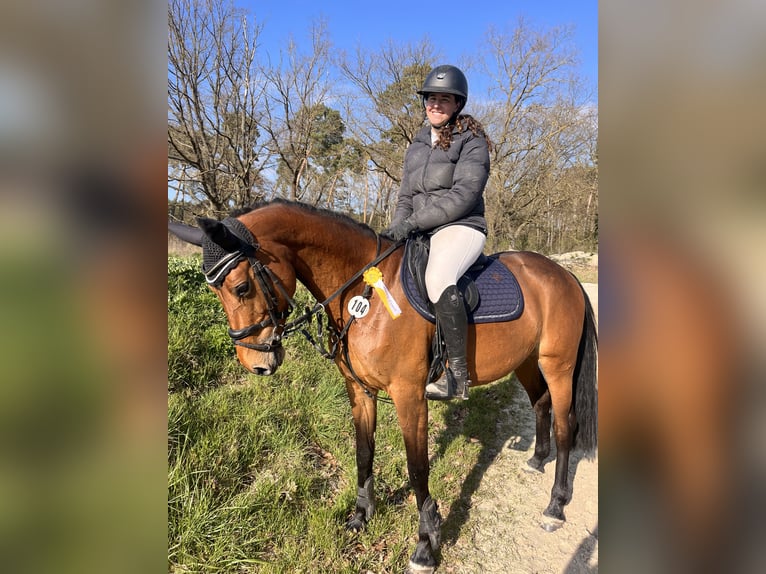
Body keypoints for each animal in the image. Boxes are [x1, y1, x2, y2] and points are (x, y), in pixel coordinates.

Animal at [168, 199, 598, 574]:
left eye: (241, 287)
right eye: (215, 291)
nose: (255, 363)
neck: (364, 292)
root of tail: (565, 276)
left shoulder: (409, 396)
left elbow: (418, 468)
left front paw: (425, 544)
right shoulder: (360, 391)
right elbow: (363, 453)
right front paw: (361, 516)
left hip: (558, 365)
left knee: (565, 426)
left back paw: (555, 506)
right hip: (526, 362)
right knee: (540, 404)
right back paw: (536, 459)